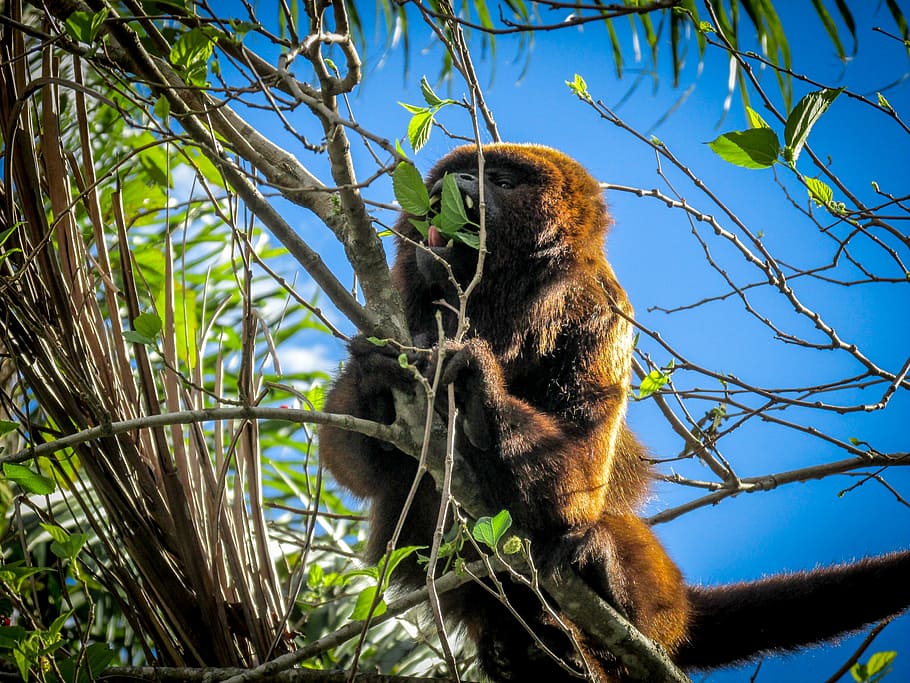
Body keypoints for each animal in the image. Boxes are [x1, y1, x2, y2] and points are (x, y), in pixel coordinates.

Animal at [319, 143, 910, 682]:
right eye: (463, 170)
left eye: (501, 182)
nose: (459, 180)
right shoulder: (399, 306)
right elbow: (364, 469)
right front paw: (373, 372)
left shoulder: (602, 314)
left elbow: (579, 486)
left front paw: (476, 380)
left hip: (656, 600)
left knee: (605, 537)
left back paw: (595, 577)